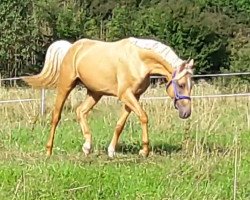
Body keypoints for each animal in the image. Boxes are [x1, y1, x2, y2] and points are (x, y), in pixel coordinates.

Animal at [22, 36, 195, 157]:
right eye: (181, 85)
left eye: (191, 85)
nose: (186, 113)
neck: (139, 60)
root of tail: (72, 47)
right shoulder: (125, 94)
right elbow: (144, 117)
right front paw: (144, 151)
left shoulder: (134, 96)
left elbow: (120, 124)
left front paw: (111, 151)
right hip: (66, 86)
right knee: (56, 116)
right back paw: (49, 151)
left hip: (95, 93)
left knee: (80, 111)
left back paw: (87, 146)